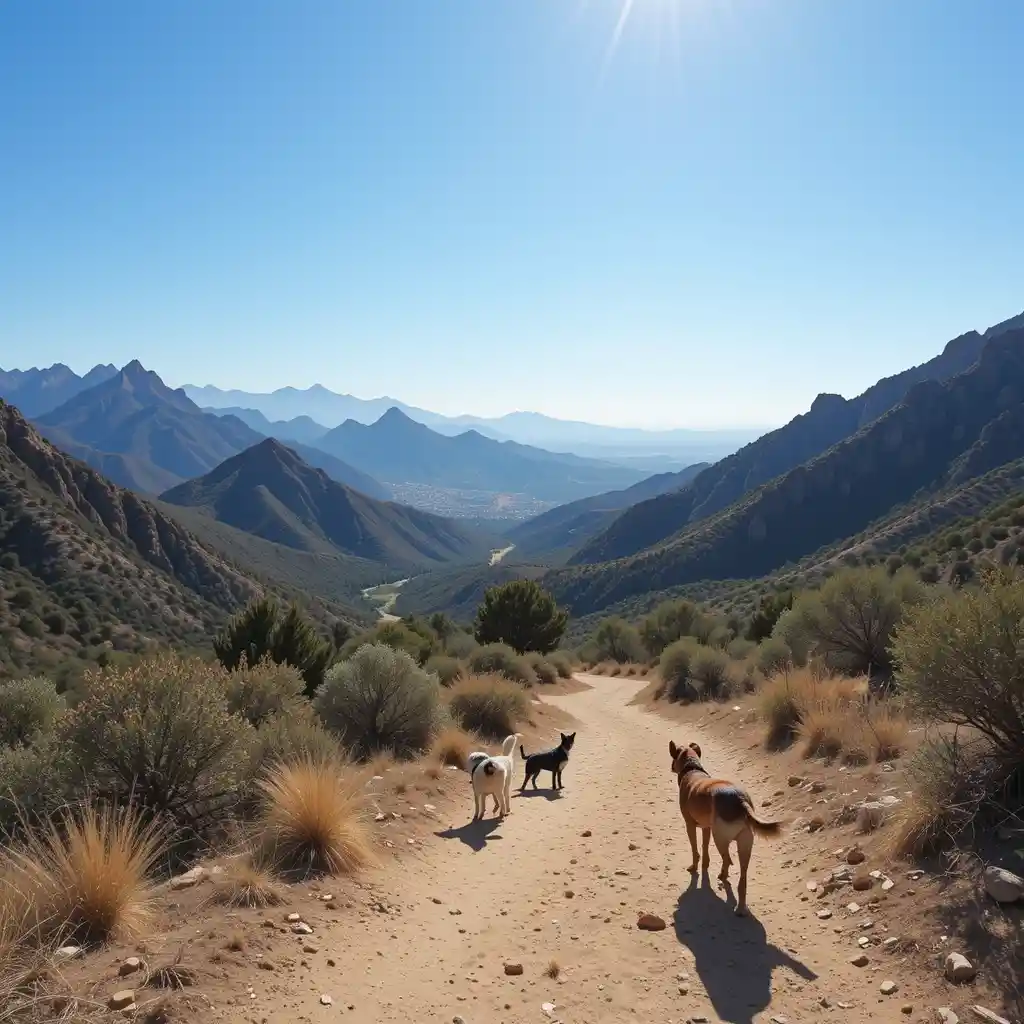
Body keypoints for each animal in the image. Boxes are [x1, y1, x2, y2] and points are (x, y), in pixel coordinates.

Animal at [671, 741, 782, 917]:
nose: (671, 767)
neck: (692, 768)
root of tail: (741, 801)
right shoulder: (706, 828)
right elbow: (704, 848)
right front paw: (705, 865)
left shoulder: (690, 825)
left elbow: (695, 849)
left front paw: (695, 867)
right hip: (744, 846)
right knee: (742, 878)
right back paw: (740, 907)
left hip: (721, 839)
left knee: (727, 859)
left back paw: (724, 876)